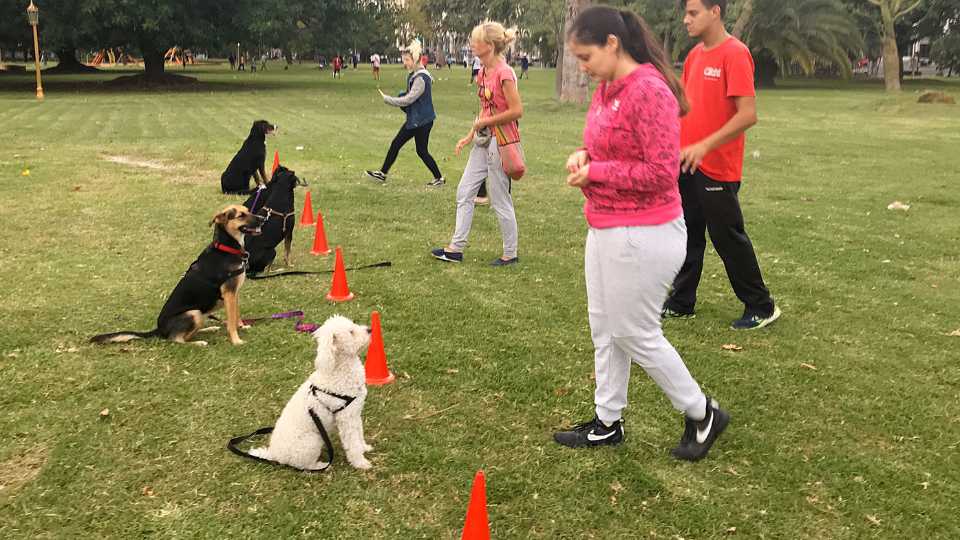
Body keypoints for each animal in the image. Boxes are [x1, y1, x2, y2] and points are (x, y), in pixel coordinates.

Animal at [91, 202, 262, 346]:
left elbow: (236, 315)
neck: (227, 248)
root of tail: (159, 330)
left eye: (248, 211)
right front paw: (236, 340)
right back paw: (198, 343)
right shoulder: (229, 293)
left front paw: (242, 326)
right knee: (176, 340)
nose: (262, 218)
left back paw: (208, 329)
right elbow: (231, 321)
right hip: (194, 313)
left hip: (200, 315)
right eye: (241, 215)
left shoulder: (234, 294)